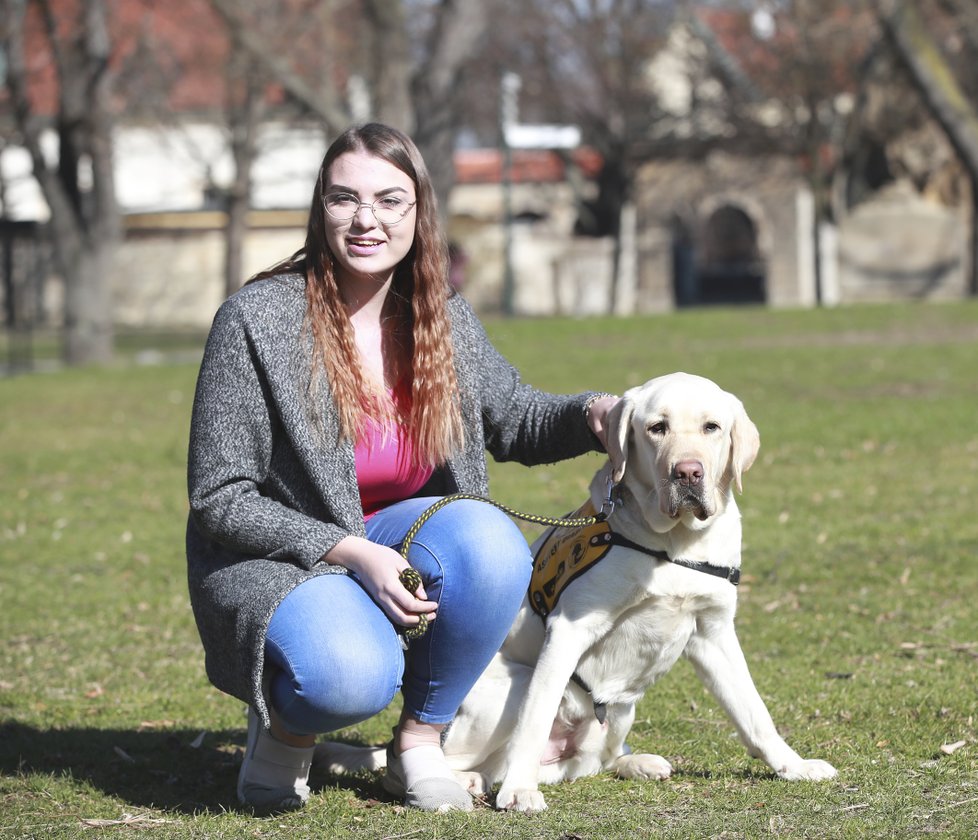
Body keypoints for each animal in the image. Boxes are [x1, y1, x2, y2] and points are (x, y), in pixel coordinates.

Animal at [316, 372, 836, 808]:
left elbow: (755, 713)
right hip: (513, 687)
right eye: (657, 428)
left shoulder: (713, 632)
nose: (688, 472)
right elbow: (534, 719)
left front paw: (794, 766)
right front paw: (520, 792)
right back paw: (465, 780)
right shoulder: (568, 630)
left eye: (712, 427)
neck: (673, 542)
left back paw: (635, 762)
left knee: (588, 761)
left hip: (621, 710)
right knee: (440, 761)